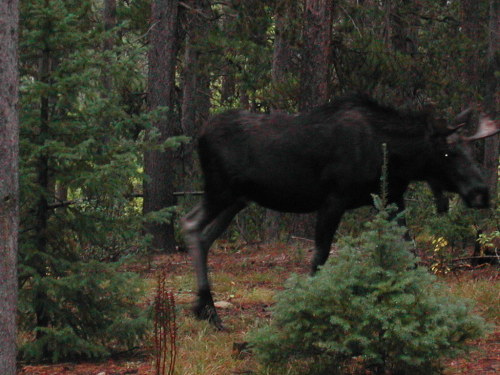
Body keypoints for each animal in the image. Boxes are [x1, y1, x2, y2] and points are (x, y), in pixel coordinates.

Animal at [182, 94, 498, 328]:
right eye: (447, 153)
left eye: (469, 151)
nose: (481, 192)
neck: (395, 158)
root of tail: (200, 135)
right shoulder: (334, 198)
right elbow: (320, 257)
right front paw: (304, 310)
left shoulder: (393, 199)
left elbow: (412, 254)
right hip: (220, 190)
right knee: (190, 224)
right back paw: (209, 310)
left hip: (238, 199)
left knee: (205, 237)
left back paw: (204, 308)